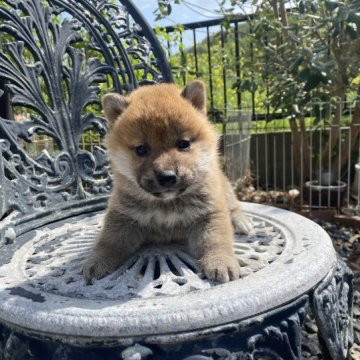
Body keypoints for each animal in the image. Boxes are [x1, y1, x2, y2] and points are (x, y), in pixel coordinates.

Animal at [83, 80, 253, 282]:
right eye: (141, 149)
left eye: (184, 144)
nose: (167, 176)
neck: (166, 204)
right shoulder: (123, 216)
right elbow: (109, 240)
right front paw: (97, 261)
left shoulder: (210, 212)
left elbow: (215, 239)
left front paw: (221, 261)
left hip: (223, 187)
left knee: (233, 205)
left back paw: (241, 221)